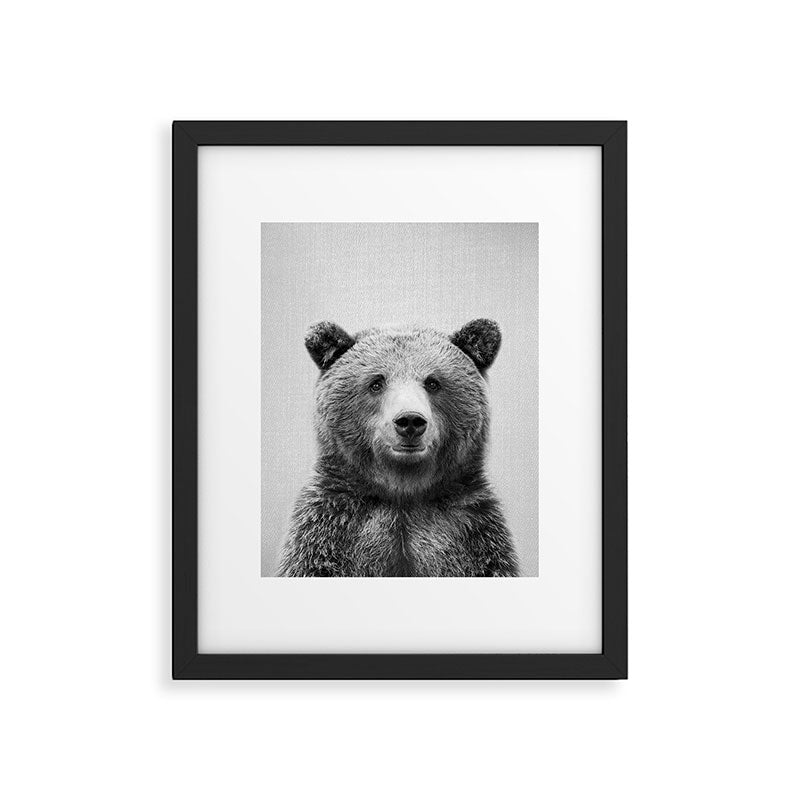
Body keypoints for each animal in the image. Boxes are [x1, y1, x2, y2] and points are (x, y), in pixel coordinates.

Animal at [277, 318, 519, 577]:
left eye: (432, 382)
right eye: (376, 383)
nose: (410, 420)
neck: (403, 493)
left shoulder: (470, 533)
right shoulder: (331, 530)